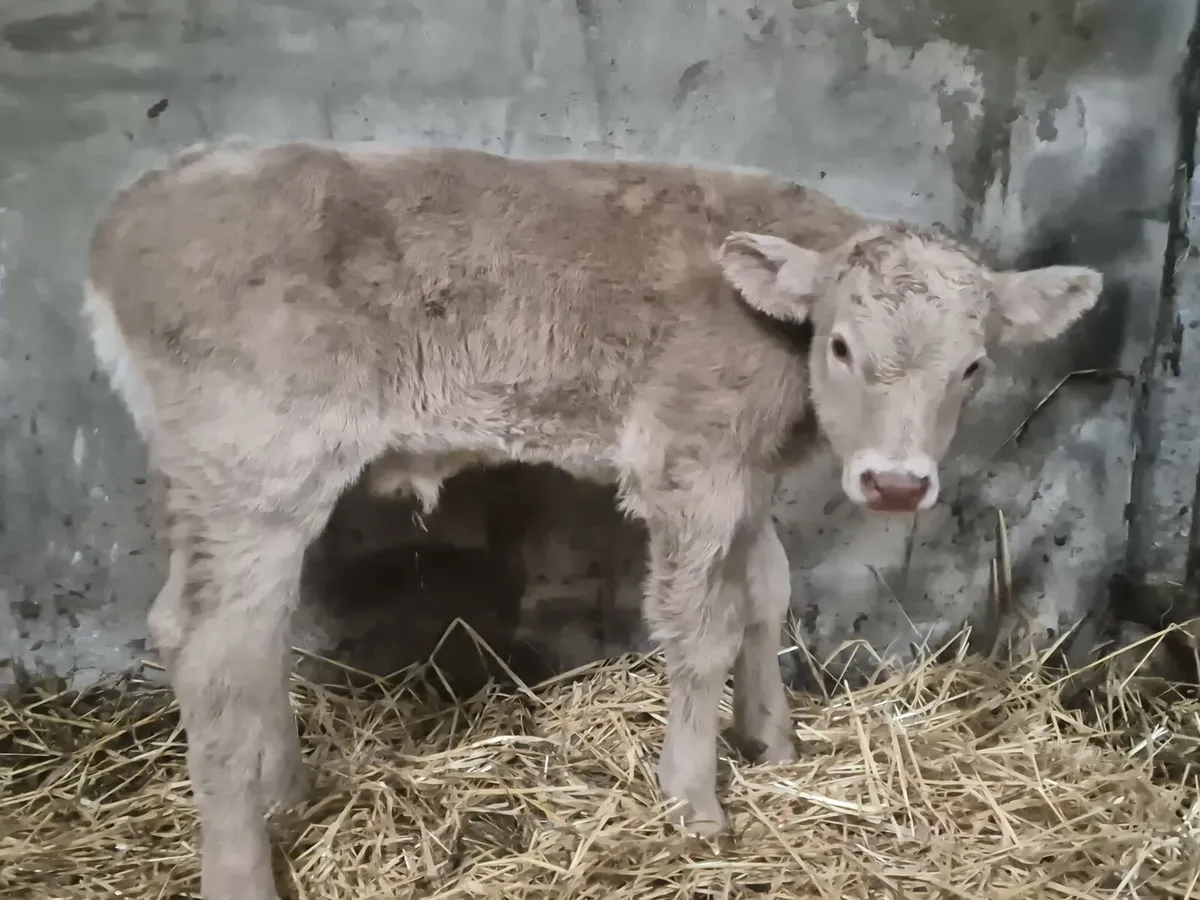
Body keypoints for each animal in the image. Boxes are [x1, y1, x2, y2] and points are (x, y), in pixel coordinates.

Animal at [82, 139, 1102, 900]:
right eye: (842, 346)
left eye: (972, 366)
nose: (894, 483)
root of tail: (133, 213)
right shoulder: (689, 464)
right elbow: (701, 629)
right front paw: (695, 803)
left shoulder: (745, 474)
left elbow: (768, 592)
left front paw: (773, 743)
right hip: (261, 464)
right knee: (215, 648)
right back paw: (243, 866)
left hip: (200, 474)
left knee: (216, 629)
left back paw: (282, 794)